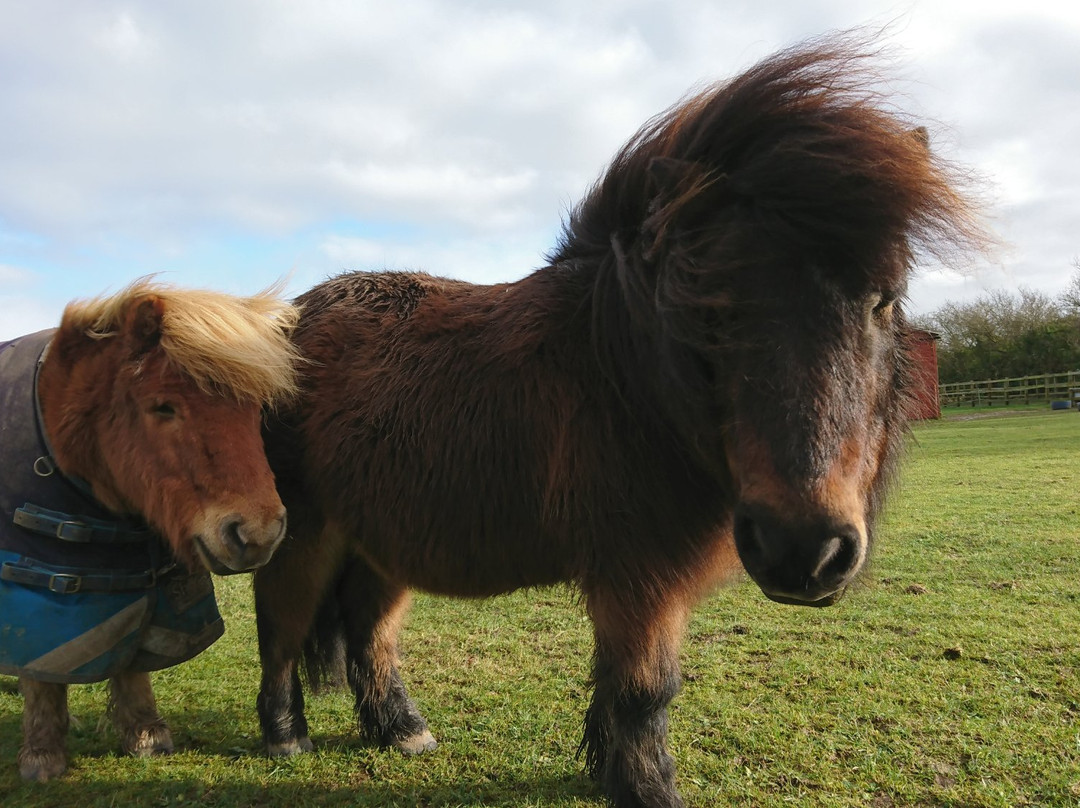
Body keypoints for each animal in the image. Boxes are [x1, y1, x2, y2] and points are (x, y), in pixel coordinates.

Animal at [4, 280, 302, 777]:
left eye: (255, 409)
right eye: (163, 407)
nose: (258, 533)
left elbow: (133, 655)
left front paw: (145, 733)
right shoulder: (34, 589)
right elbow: (42, 671)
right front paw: (43, 755)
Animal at [257, 39, 984, 808]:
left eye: (885, 298)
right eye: (714, 305)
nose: (804, 552)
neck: (626, 379)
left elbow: (618, 686)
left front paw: (606, 767)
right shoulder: (639, 573)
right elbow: (645, 691)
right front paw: (645, 787)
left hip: (382, 539)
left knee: (370, 630)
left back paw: (400, 727)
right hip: (305, 532)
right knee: (280, 626)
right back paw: (285, 735)